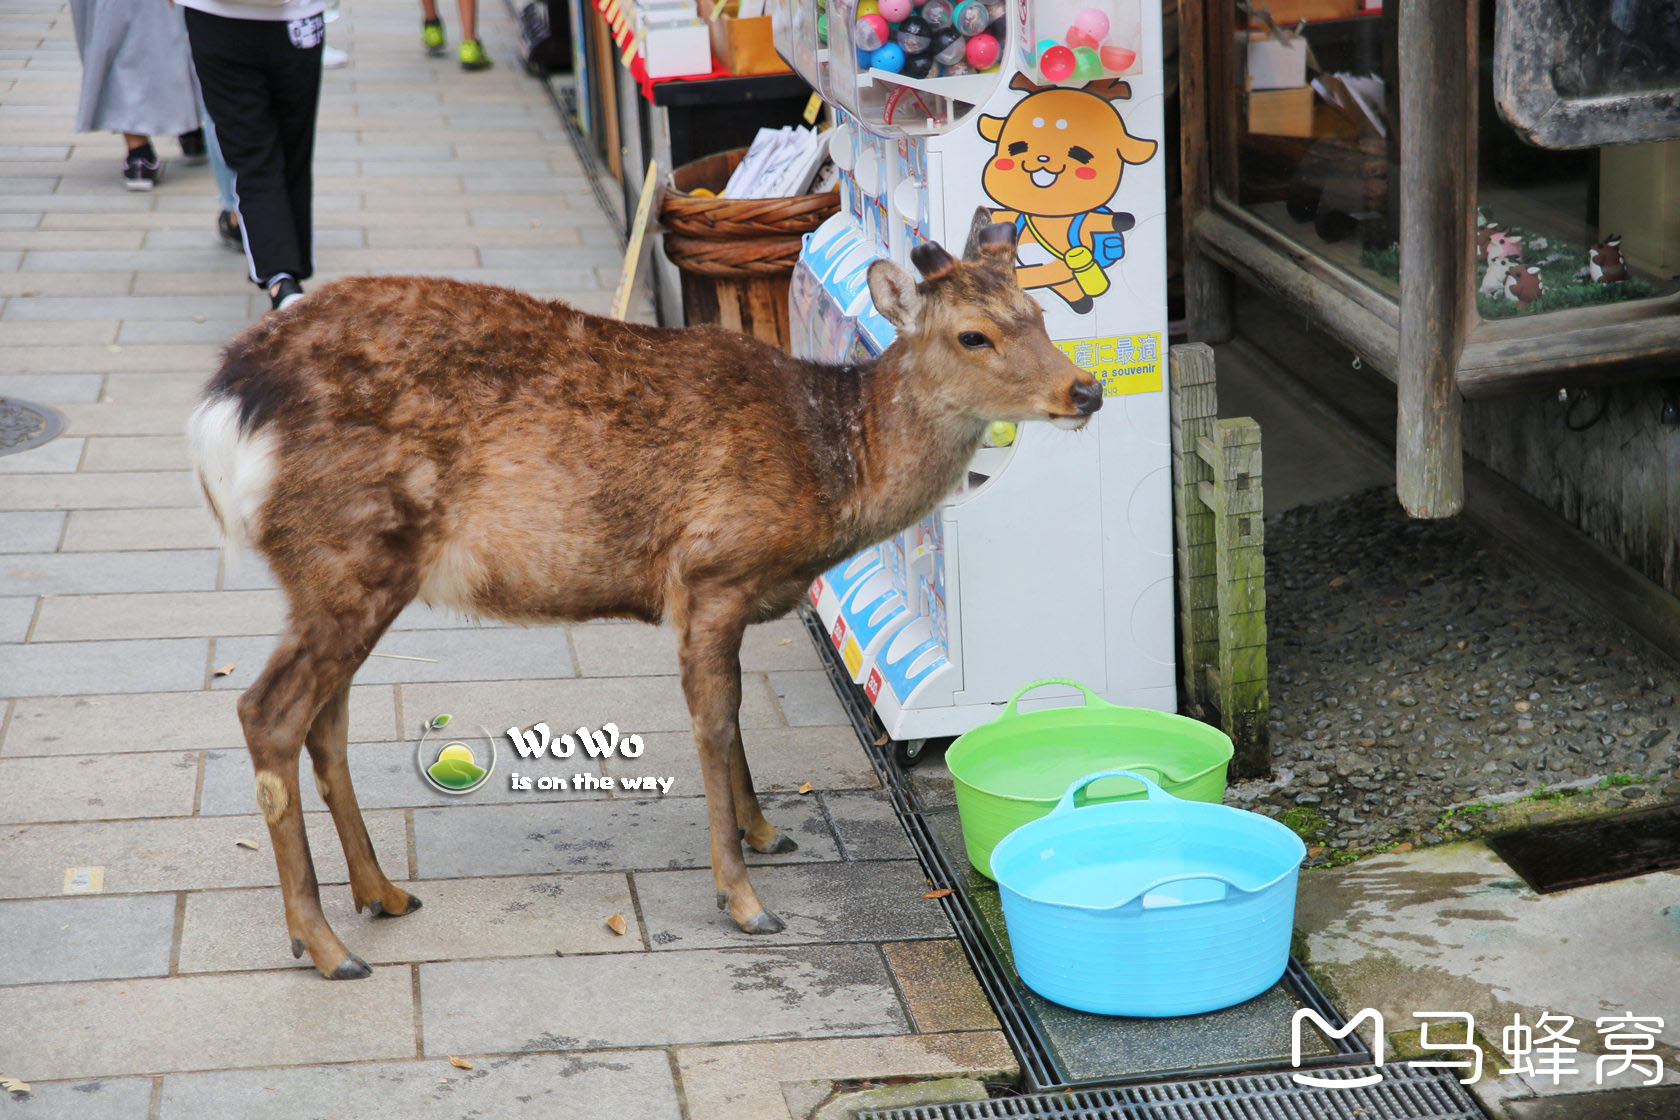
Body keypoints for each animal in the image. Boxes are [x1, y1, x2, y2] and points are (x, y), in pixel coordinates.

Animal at [190, 209, 1102, 980]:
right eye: (974, 334)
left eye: (1041, 315)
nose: (1084, 390)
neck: (830, 477)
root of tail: (226, 404)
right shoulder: (712, 568)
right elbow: (713, 720)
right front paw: (743, 898)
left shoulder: (725, 595)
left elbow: (736, 714)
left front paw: (766, 831)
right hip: (350, 549)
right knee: (269, 711)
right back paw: (324, 943)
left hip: (339, 571)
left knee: (326, 722)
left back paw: (382, 893)